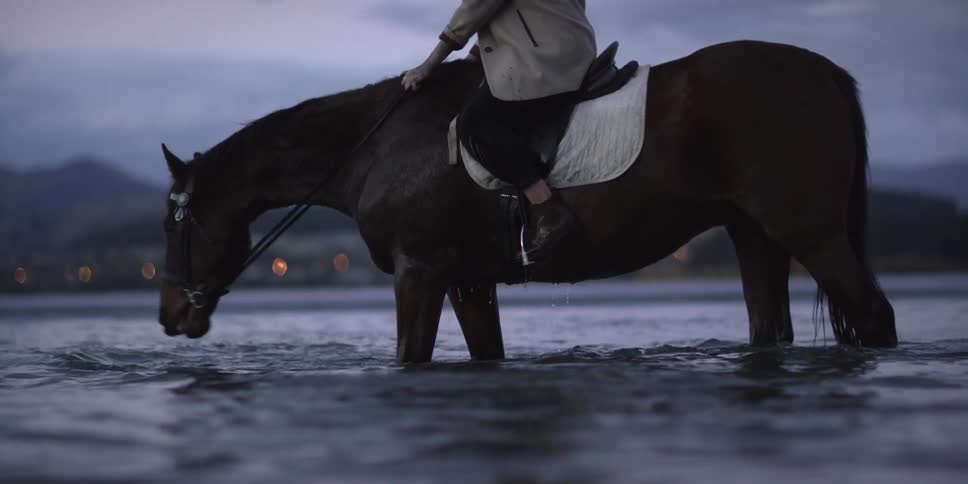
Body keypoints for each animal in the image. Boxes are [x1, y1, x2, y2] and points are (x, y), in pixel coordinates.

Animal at [158, 40, 898, 363]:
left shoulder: (420, 269)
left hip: (811, 231)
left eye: (178, 223)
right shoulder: (468, 279)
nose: (168, 315)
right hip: (755, 235)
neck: (377, 146)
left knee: (874, 316)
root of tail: (824, 71)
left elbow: (409, 356)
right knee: (770, 330)